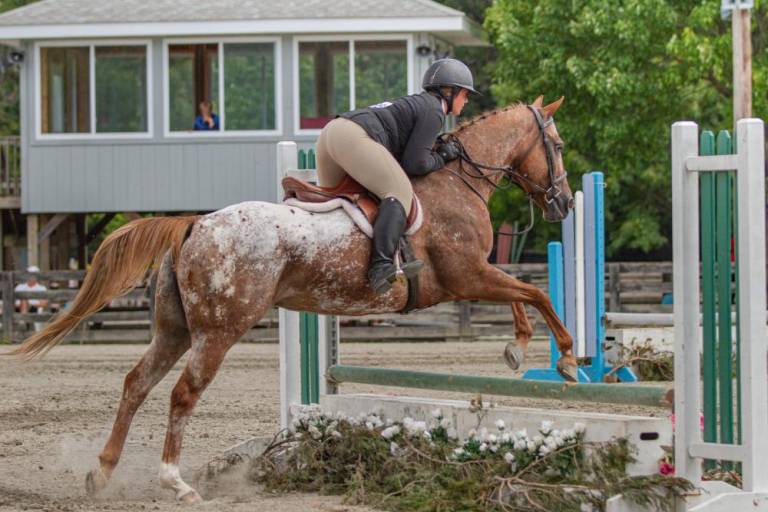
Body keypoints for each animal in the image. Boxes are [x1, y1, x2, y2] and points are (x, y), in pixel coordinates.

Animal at [3, 95, 572, 500]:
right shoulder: (467, 276)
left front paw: (518, 349)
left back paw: (102, 474)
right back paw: (176, 482)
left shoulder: (475, 276)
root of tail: (194, 224)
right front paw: (563, 358)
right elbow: (534, 292)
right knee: (182, 393)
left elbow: (522, 295)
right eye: (559, 146)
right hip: (219, 331)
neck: (458, 180)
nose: (564, 204)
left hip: (175, 329)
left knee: (136, 383)